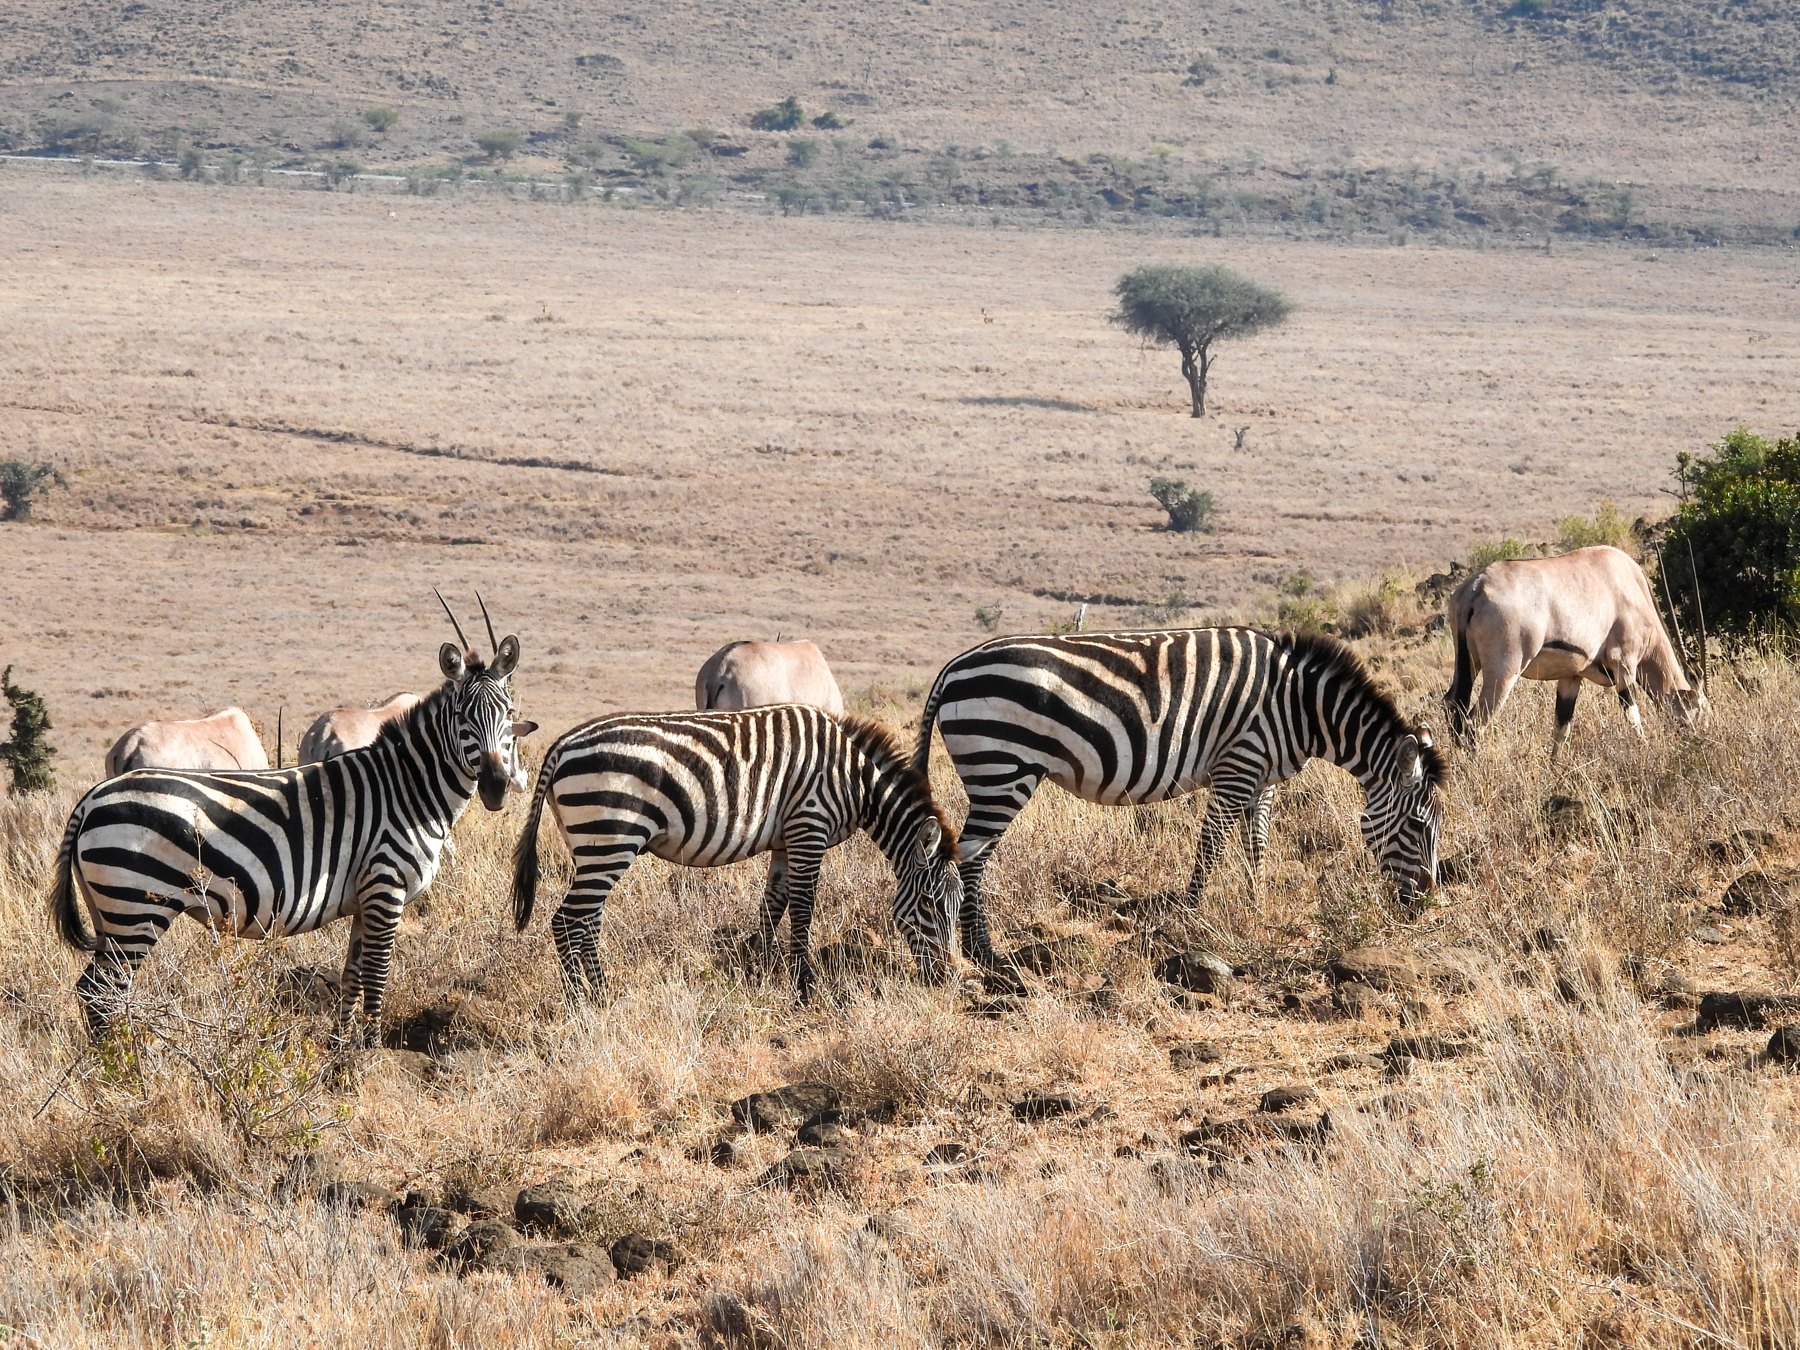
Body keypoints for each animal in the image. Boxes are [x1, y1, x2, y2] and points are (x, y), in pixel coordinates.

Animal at [50, 628, 531, 1049]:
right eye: (462, 716)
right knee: (103, 990)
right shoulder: (385, 886)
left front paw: (342, 1055)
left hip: (110, 912)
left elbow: (352, 977)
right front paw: (372, 1053)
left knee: (92, 989)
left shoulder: (364, 897)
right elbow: (376, 976)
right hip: (136, 905)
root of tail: (90, 799)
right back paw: (118, 1067)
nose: (495, 786)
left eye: (508, 713)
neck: (408, 789)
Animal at [510, 705, 961, 1002]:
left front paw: (758, 966)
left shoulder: (785, 839)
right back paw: (585, 1004)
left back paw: (598, 994)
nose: (947, 977)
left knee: (587, 920)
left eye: (956, 907)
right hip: (610, 837)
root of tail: (562, 743)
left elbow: (773, 904)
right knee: (568, 920)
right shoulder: (808, 826)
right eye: (929, 903)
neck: (853, 778)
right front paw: (805, 988)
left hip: (588, 846)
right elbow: (803, 907)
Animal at [913, 627, 1444, 966]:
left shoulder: (1263, 778)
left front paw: (1255, 905)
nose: (1423, 905)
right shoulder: (1237, 766)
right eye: (1418, 826)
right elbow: (1210, 848)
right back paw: (983, 951)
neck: (1299, 706)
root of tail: (954, 666)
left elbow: (1256, 845)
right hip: (1002, 768)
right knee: (972, 858)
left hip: (995, 770)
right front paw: (1188, 919)